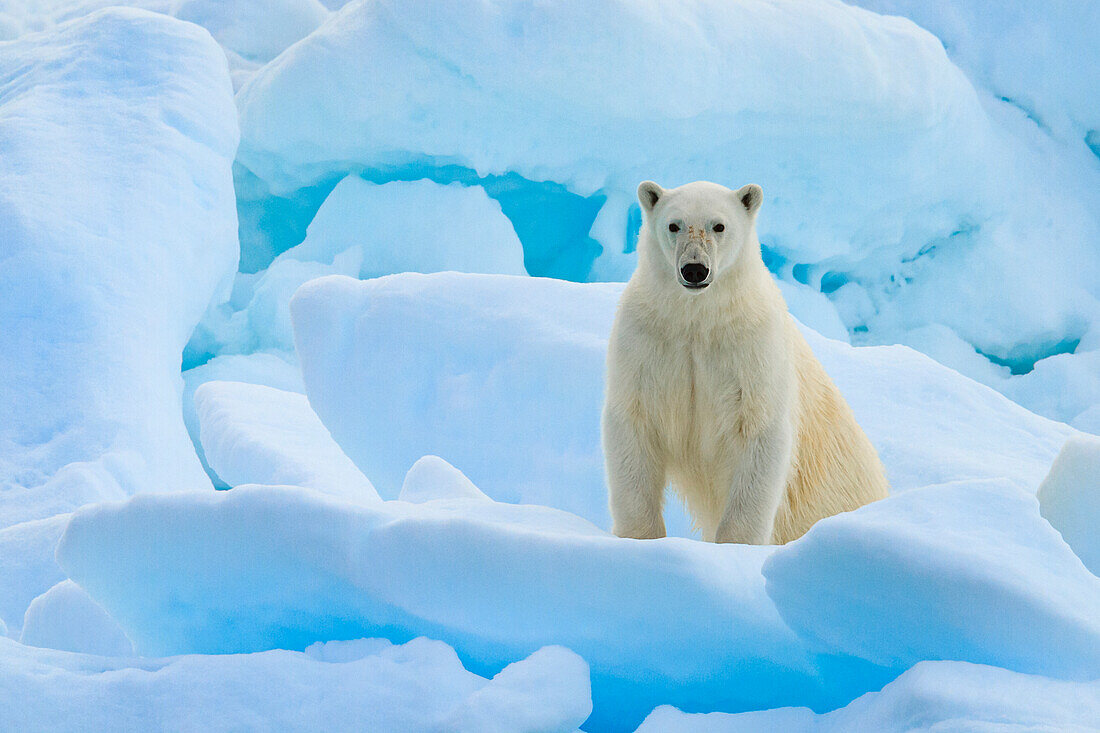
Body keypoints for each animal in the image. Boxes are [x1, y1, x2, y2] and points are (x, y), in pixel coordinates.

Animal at [607, 179, 888, 539]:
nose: (695, 269)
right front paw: (641, 537)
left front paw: (734, 544)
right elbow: (635, 425)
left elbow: (759, 432)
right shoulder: (647, 342)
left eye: (719, 225)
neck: (698, 319)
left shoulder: (751, 350)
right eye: (674, 225)